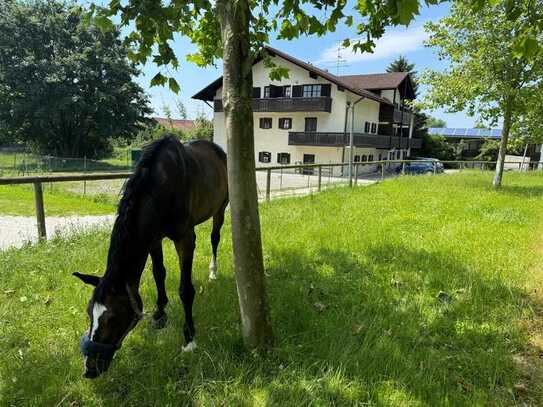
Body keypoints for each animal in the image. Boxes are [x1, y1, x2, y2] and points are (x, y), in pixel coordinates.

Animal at [71, 136, 227, 380]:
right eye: (89, 313)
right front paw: (159, 314)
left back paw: (213, 271)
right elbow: (158, 273)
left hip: (220, 210)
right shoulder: (153, 238)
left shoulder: (185, 239)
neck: (162, 185)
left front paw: (189, 339)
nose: (90, 369)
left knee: (214, 239)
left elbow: (185, 290)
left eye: (113, 318)